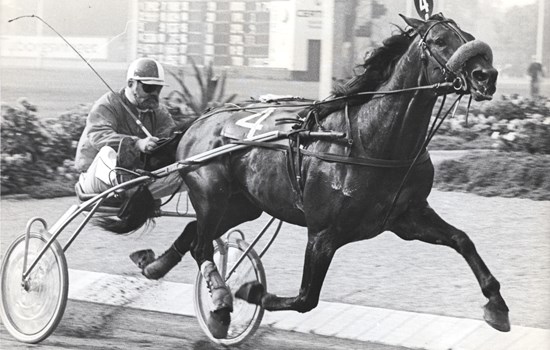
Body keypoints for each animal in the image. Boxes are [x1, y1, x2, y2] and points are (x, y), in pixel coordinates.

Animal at [98, 12, 512, 338]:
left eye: (468, 35)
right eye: (441, 41)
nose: (487, 75)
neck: (370, 139)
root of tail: (197, 122)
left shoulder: (407, 217)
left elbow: (462, 240)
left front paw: (497, 306)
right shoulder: (324, 233)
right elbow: (305, 298)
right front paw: (250, 291)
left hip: (242, 204)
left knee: (191, 233)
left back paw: (156, 267)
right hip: (211, 193)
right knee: (201, 245)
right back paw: (220, 301)